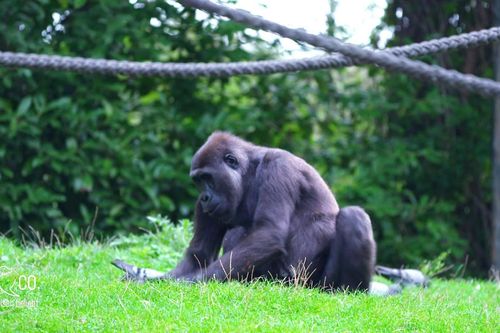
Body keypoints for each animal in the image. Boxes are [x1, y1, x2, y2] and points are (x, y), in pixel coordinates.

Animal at [112, 132, 376, 290]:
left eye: (208, 178)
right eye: (198, 181)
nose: (204, 197)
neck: (250, 171)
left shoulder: (280, 167)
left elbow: (268, 232)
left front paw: (188, 281)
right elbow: (198, 254)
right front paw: (154, 278)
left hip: (314, 285)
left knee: (353, 217)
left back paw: (348, 290)